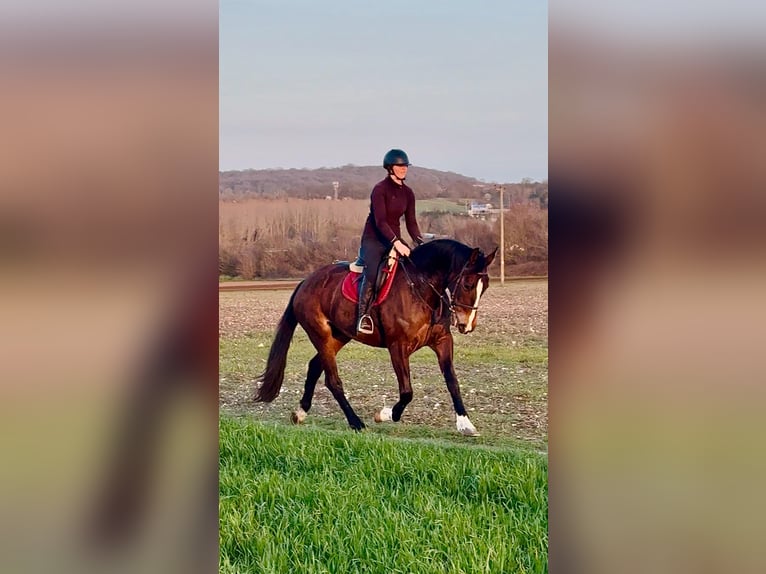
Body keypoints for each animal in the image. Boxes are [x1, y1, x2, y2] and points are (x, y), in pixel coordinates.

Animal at [254, 239, 497, 435]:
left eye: (485, 287)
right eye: (467, 284)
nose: (467, 325)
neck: (422, 288)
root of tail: (306, 282)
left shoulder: (442, 342)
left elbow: (452, 382)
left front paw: (465, 424)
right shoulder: (398, 347)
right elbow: (407, 392)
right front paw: (386, 414)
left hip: (339, 336)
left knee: (315, 367)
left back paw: (301, 413)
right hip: (321, 336)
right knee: (333, 380)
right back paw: (356, 422)